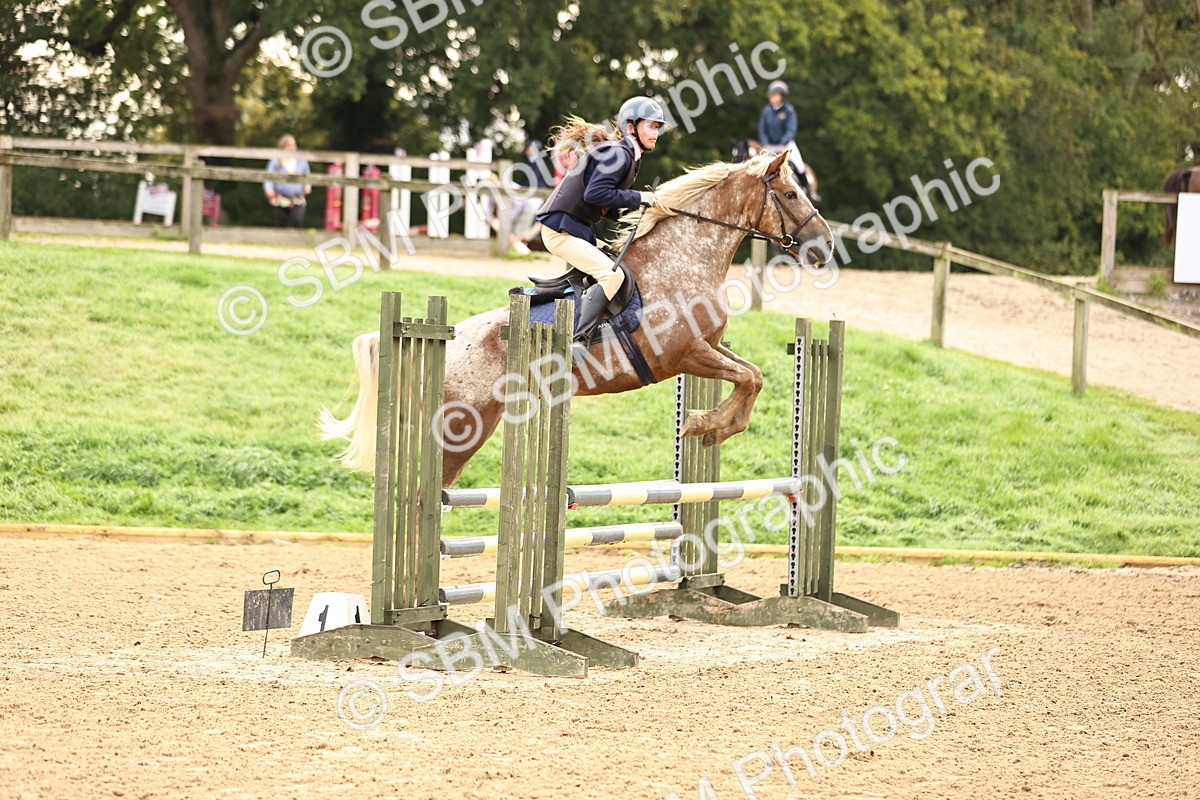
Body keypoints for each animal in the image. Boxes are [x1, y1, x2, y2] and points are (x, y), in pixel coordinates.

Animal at [319, 150, 833, 487]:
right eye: (791, 193)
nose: (825, 246)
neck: (684, 257)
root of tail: (439, 338)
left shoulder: (709, 348)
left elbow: (753, 375)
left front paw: (712, 427)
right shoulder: (685, 354)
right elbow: (748, 378)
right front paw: (704, 425)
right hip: (462, 428)